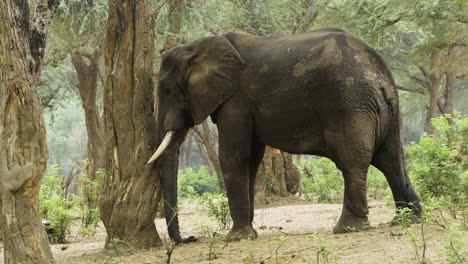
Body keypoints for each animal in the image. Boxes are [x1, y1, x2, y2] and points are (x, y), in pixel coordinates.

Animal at [149, 27, 420, 242]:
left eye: (167, 90)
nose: (189, 239)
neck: (195, 47)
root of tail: (382, 76)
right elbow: (251, 159)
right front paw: (248, 232)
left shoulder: (236, 100)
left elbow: (233, 156)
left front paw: (237, 238)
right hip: (385, 109)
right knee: (390, 159)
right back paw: (409, 219)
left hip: (350, 103)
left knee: (354, 161)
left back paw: (348, 229)